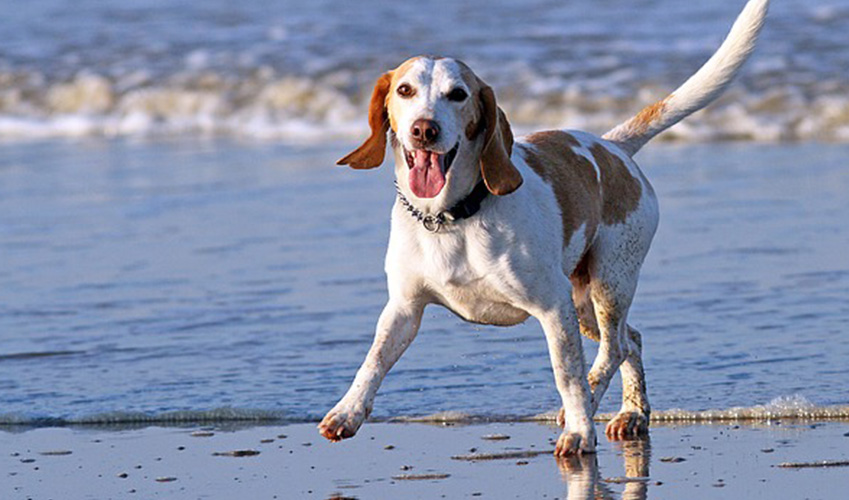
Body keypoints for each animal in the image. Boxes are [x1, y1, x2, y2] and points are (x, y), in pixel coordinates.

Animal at [318, 0, 768, 458]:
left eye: (457, 94)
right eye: (405, 90)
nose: (425, 129)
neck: (452, 218)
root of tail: (613, 147)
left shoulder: (552, 308)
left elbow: (567, 375)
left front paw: (579, 432)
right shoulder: (403, 309)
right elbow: (373, 361)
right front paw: (347, 412)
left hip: (608, 284)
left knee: (613, 349)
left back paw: (591, 407)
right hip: (583, 303)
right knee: (633, 340)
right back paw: (632, 413)